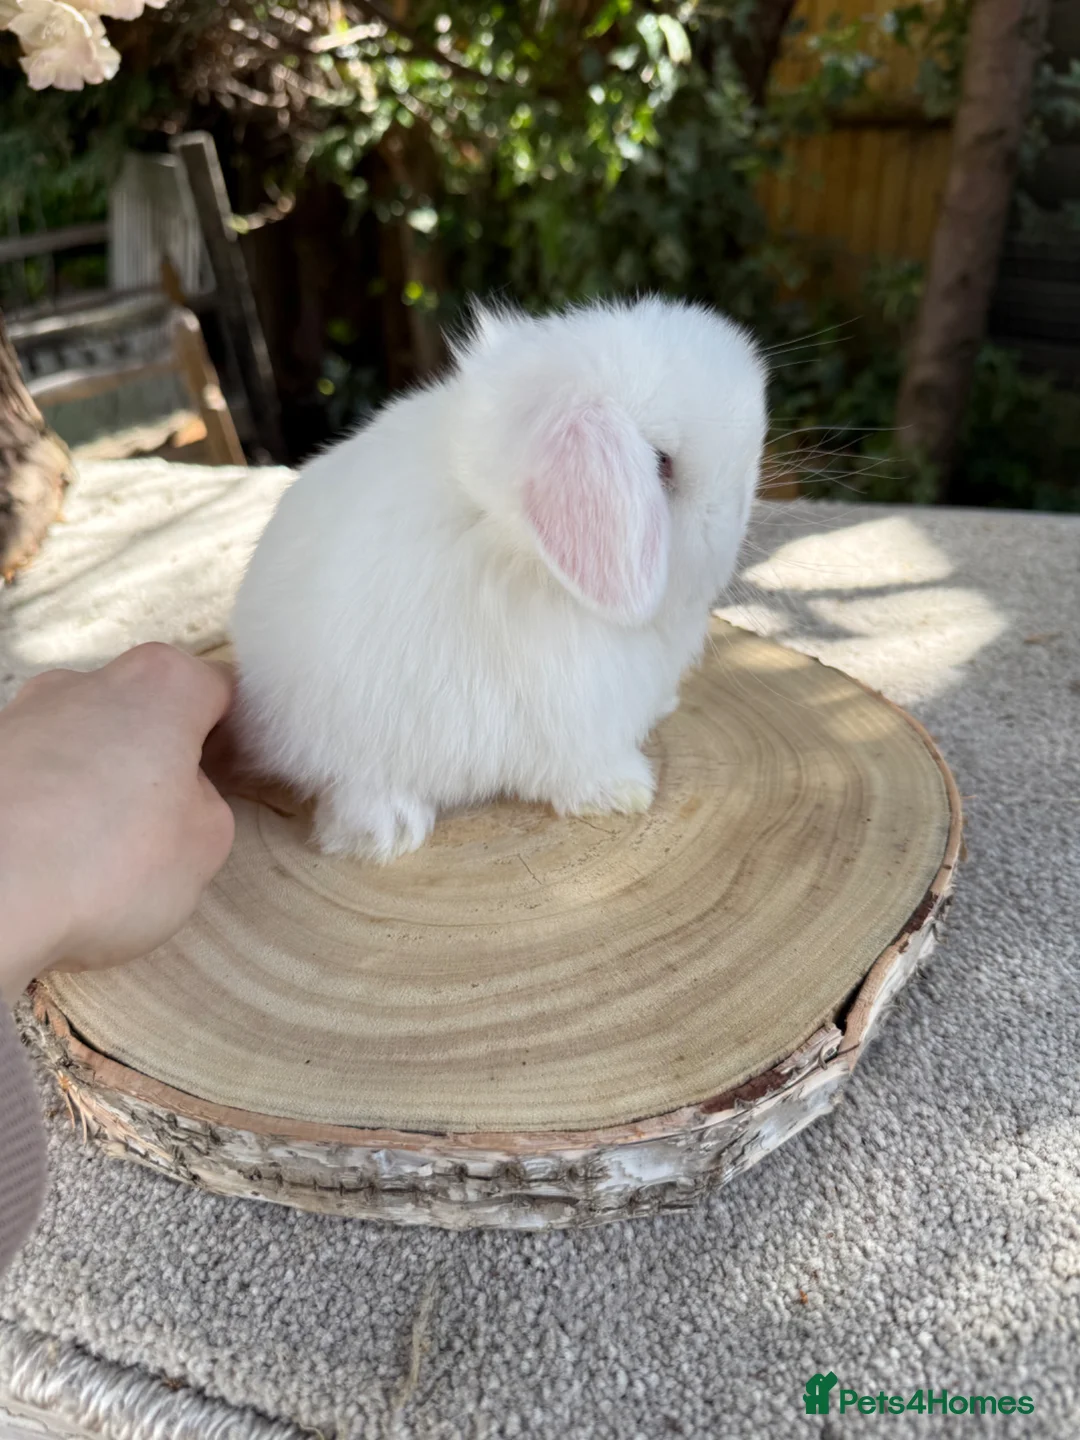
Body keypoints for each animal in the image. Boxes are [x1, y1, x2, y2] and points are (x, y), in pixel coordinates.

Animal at [230, 295, 767, 862]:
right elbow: (581, 769)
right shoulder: (569, 725)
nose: (741, 511)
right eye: (661, 464)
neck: (521, 555)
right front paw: (625, 791)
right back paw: (389, 833)